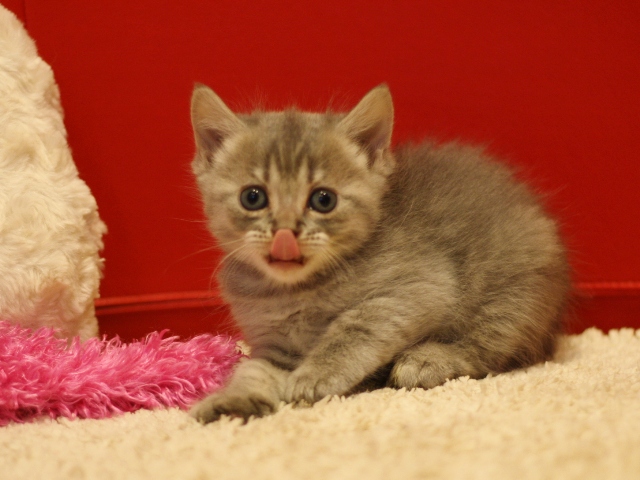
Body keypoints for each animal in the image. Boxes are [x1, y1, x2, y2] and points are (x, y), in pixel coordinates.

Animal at [186, 84, 568, 422]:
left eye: (323, 200)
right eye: (253, 197)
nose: (285, 232)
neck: (294, 291)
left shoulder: (419, 286)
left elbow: (353, 328)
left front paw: (315, 375)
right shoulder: (274, 346)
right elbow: (253, 371)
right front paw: (232, 400)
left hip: (512, 291)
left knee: (491, 347)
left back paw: (428, 359)